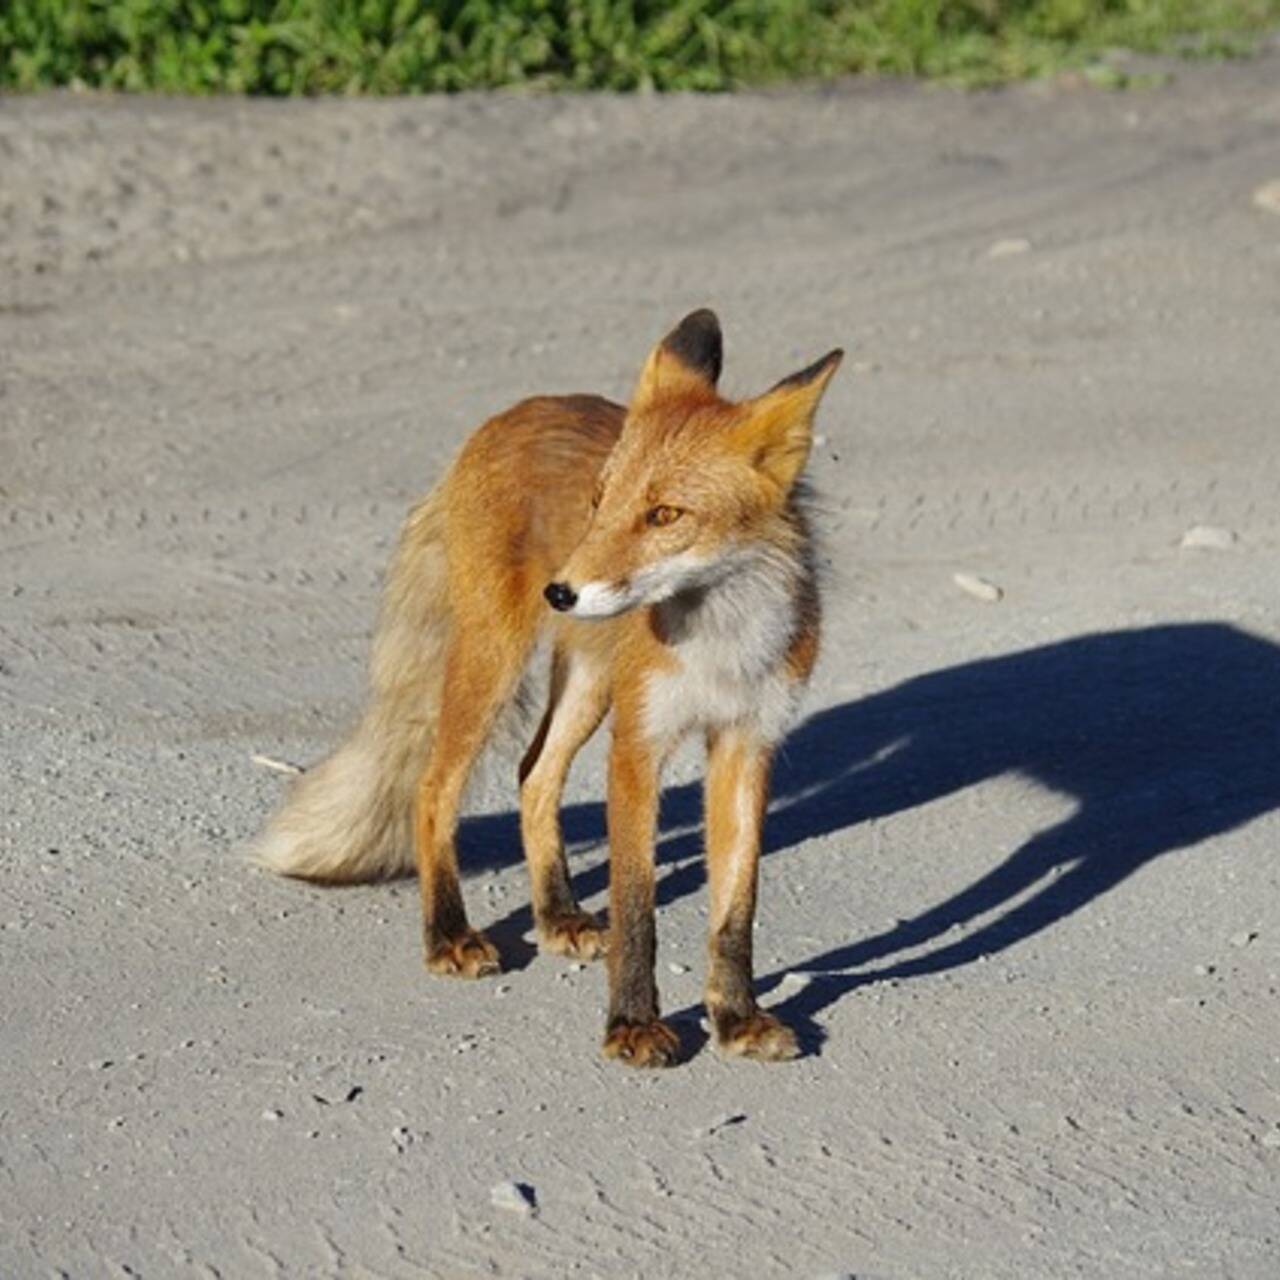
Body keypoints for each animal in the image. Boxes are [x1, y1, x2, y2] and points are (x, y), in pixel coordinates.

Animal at [254, 312, 844, 1070]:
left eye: (665, 514)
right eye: (600, 500)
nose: (561, 591)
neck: (722, 642)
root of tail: (512, 412)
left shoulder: (748, 743)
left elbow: (736, 908)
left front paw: (736, 1018)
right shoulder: (638, 745)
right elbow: (636, 908)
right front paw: (631, 1025)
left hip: (588, 683)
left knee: (533, 774)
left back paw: (555, 914)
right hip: (495, 660)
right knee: (432, 788)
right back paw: (448, 933)